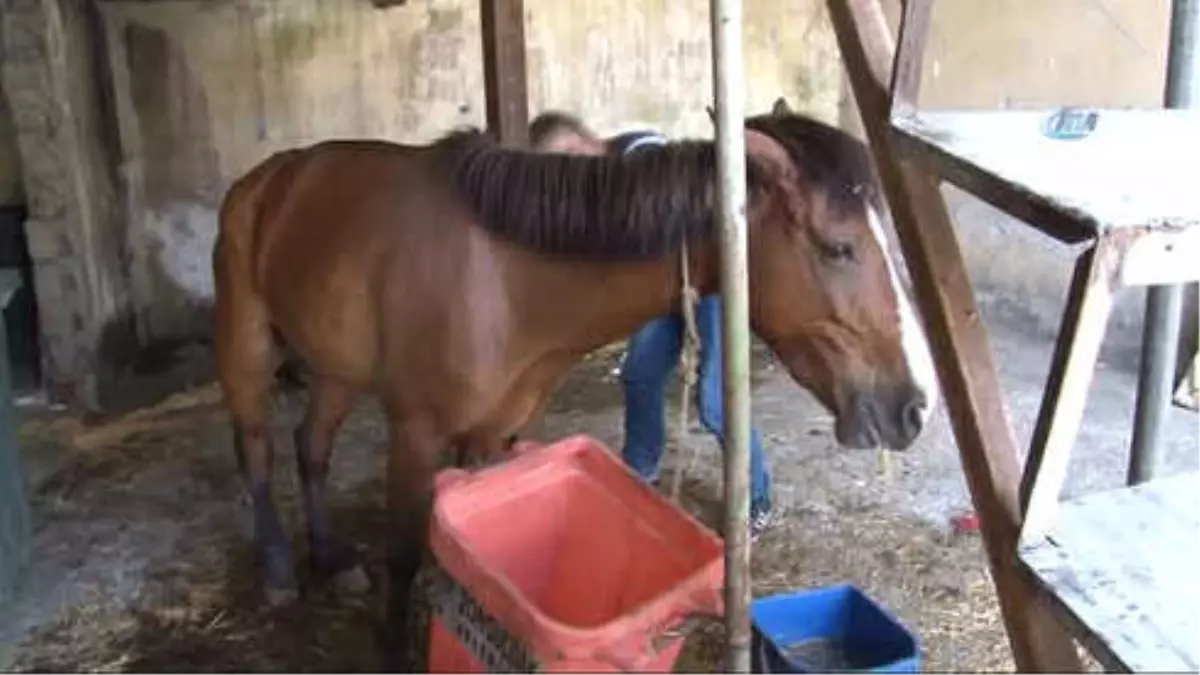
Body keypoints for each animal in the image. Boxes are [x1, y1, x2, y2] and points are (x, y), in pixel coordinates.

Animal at [213, 99, 936, 662]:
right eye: (838, 247)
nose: (912, 407)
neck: (505, 278)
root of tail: (271, 177)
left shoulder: (492, 434)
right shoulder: (416, 432)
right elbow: (404, 552)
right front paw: (391, 648)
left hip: (335, 367)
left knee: (311, 447)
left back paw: (330, 559)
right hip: (246, 346)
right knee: (257, 451)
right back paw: (278, 569)